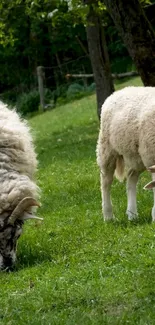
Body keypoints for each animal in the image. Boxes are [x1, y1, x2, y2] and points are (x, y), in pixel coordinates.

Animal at [96, 86, 155, 221]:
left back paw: (131, 214)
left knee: (131, 178)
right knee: (105, 181)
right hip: (106, 148)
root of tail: (120, 90)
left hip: (136, 156)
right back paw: (108, 216)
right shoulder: (151, 157)